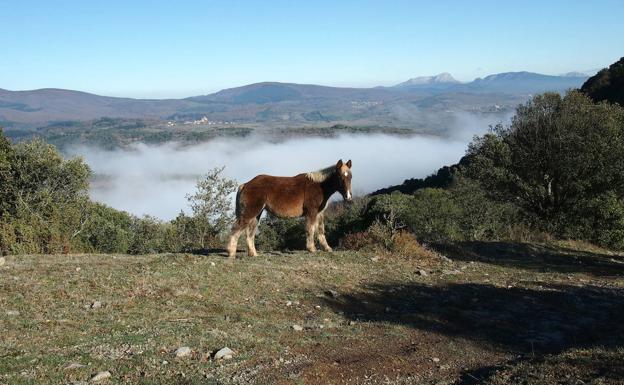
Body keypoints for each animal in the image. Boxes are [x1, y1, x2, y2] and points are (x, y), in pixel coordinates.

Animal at [225, 159, 354, 258]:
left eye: (350, 176)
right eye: (340, 176)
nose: (348, 197)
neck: (319, 185)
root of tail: (245, 185)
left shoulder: (319, 213)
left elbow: (321, 230)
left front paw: (327, 248)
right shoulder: (311, 212)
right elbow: (310, 229)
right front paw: (311, 249)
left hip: (257, 214)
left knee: (250, 233)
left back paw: (254, 254)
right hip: (250, 212)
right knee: (236, 229)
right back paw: (231, 253)